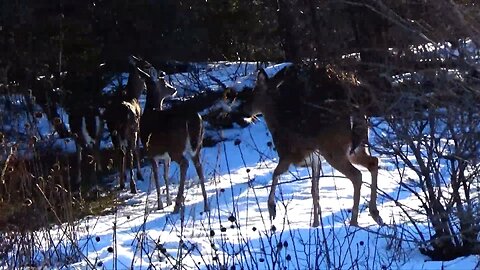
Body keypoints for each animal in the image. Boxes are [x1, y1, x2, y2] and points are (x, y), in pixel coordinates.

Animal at [137, 64, 208, 212]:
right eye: (164, 81)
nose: (173, 89)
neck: (150, 111)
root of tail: (191, 118)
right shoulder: (165, 157)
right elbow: (165, 175)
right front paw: (168, 201)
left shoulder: (150, 152)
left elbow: (156, 177)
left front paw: (160, 204)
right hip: (197, 146)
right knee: (198, 166)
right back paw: (206, 205)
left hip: (175, 147)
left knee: (185, 163)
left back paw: (178, 204)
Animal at [239, 64, 382, 227]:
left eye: (253, 93)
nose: (243, 109)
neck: (278, 124)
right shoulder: (315, 159)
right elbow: (315, 189)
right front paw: (315, 223)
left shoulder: (289, 154)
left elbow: (275, 173)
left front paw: (271, 209)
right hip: (357, 147)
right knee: (373, 162)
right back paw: (375, 213)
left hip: (333, 150)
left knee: (356, 175)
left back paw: (354, 221)